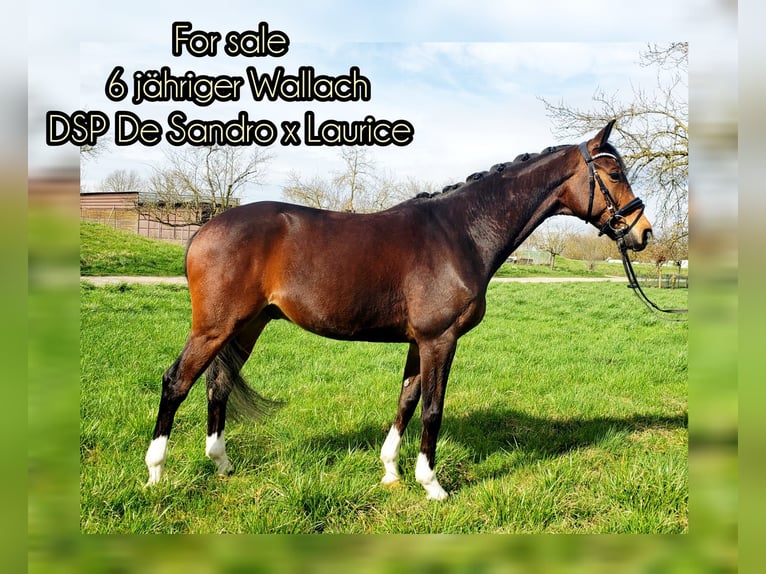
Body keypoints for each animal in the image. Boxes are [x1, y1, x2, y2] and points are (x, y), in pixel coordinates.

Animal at [144, 120, 653, 500]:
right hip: (214, 327)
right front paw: (432, 484)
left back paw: (222, 464)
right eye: (613, 174)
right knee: (176, 382)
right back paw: (155, 473)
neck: (461, 232)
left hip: (246, 326)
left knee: (219, 384)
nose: (643, 231)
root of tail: (205, 228)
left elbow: (406, 400)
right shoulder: (439, 340)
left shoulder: (418, 342)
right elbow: (432, 409)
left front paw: (391, 471)